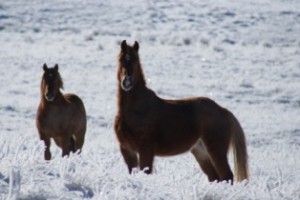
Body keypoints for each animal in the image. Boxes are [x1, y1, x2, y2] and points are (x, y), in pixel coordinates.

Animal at [114, 40, 248, 183]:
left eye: (135, 60)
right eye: (121, 59)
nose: (127, 82)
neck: (137, 110)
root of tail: (223, 111)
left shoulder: (146, 150)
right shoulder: (127, 150)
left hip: (216, 151)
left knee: (227, 176)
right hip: (201, 152)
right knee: (215, 177)